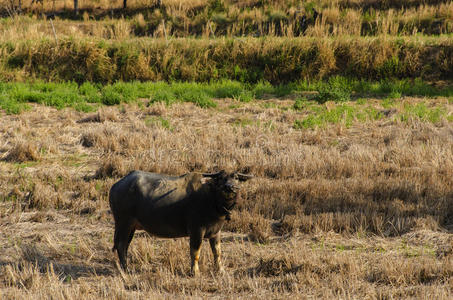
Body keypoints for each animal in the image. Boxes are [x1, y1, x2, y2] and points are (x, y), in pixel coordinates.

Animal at [108, 170, 252, 276]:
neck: (212, 200)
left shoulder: (216, 232)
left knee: (125, 245)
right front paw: (195, 272)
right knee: (121, 245)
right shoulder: (196, 230)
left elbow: (217, 252)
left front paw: (220, 270)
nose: (229, 187)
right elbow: (195, 252)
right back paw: (126, 269)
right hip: (123, 223)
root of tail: (115, 186)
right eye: (220, 178)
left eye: (236, 178)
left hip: (130, 227)